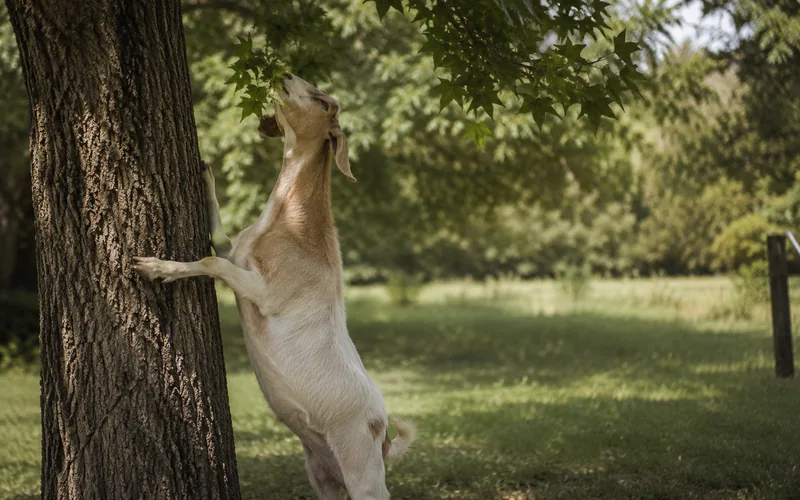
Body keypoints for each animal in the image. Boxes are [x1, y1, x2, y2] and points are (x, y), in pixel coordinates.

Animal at [134, 73, 415, 500]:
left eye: (325, 103)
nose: (285, 75)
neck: (295, 230)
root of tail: (382, 434)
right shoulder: (238, 255)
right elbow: (218, 239)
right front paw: (205, 173)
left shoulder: (267, 293)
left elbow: (210, 261)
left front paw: (156, 268)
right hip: (322, 475)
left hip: (363, 473)